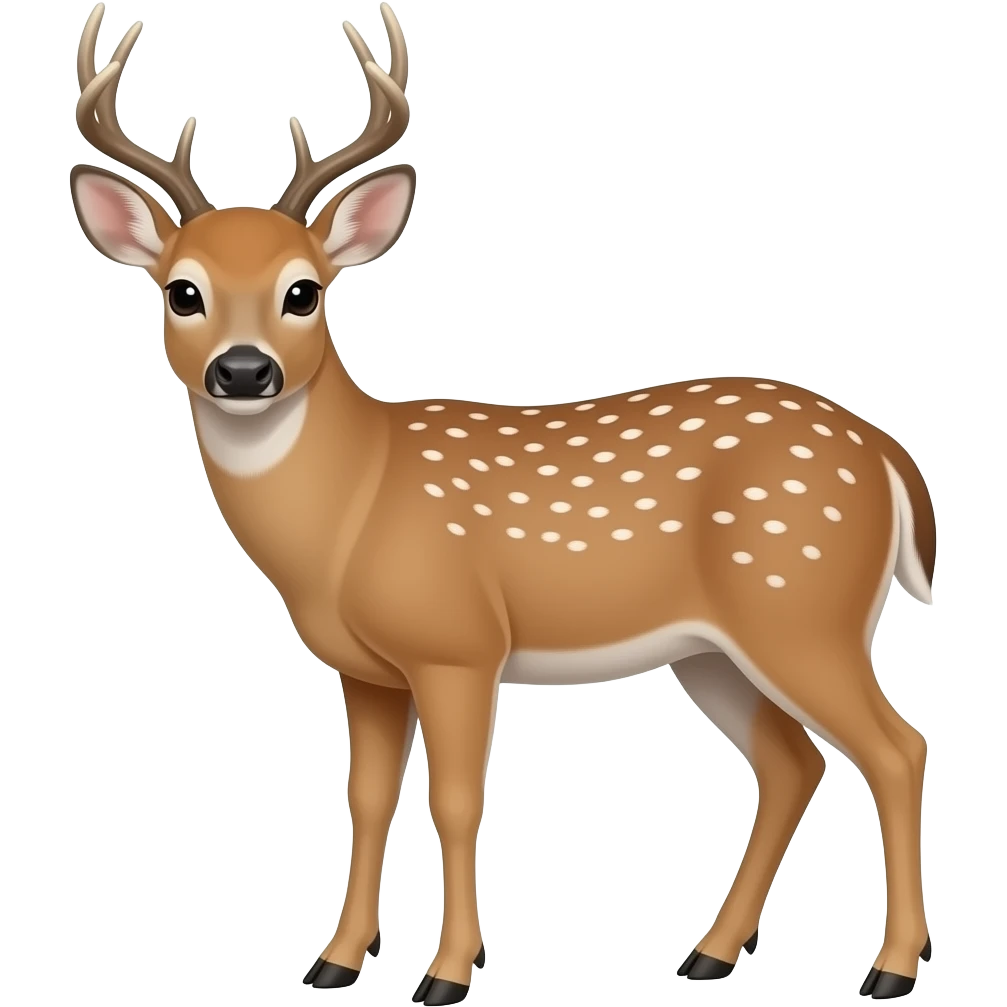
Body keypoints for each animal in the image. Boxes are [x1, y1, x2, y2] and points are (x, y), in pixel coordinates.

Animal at [70, 4, 936, 1002]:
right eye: (182, 291)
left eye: (304, 290)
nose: (243, 370)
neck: (350, 510)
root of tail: (886, 453)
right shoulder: (367, 669)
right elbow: (366, 799)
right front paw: (335, 960)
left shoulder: (458, 643)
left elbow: (455, 800)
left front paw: (446, 973)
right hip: (714, 646)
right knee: (793, 760)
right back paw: (709, 952)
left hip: (802, 605)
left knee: (895, 747)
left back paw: (889, 968)